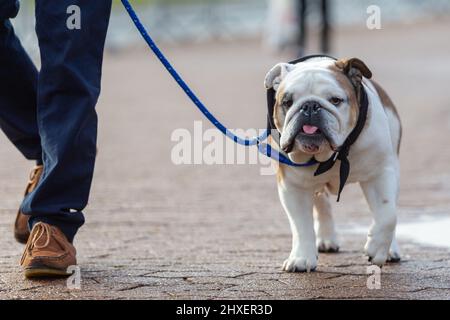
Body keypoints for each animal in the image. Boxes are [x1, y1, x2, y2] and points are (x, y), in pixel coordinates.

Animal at [264, 57, 400, 272]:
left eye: (335, 100)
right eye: (287, 102)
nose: (309, 106)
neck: (330, 155)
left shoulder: (380, 174)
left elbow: (388, 214)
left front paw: (377, 248)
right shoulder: (293, 186)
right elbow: (301, 225)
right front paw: (302, 258)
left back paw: (390, 250)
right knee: (322, 206)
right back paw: (327, 239)